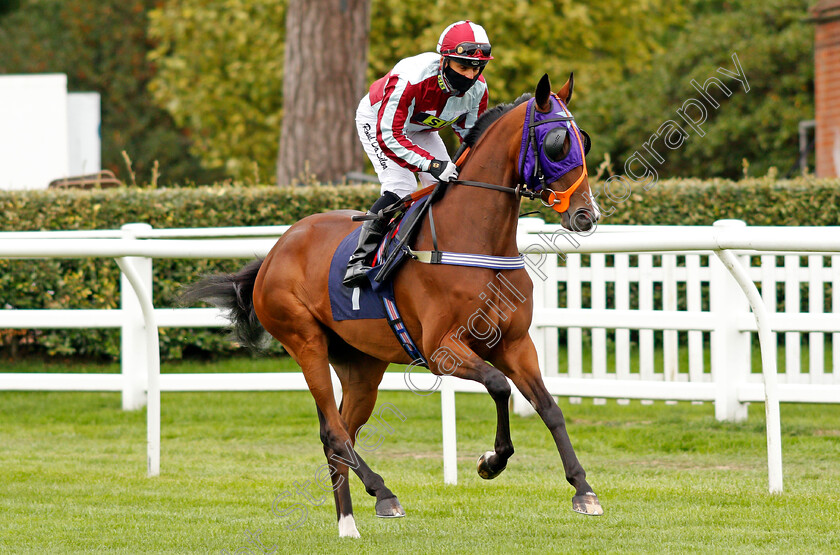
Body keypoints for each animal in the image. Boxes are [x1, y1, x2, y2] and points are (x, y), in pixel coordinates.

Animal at [184, 73, 604, 540]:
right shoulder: (442, 350)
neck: (475, 242)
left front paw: (583, 489)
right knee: (334, 432)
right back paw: (381, 494)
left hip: (362, 366)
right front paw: (490, 462)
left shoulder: (515, 344)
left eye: (583, 140)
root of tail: (274, 252)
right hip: (305, 342)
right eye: (557, 143)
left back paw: (348, 522)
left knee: (341, 434)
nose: (586, 214)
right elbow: (499, 386)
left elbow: (550, 408)